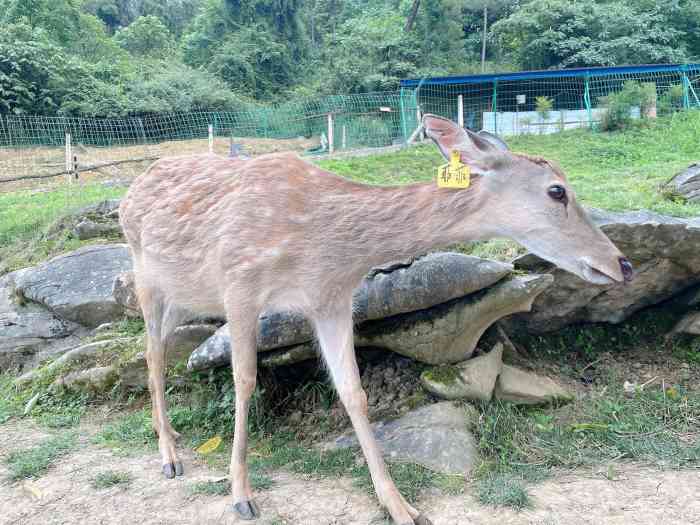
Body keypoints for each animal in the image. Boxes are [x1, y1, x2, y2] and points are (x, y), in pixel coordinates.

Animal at [117, 115, 632, 524]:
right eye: (557, 190)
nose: (622, 264)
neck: (329, 248)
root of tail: (130, 189)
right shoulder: (240, 284)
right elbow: (245, 380)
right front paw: (241, 494)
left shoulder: (331, 300)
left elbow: (354, 391)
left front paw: (400, 505)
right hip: (145, 274)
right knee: (152, 353)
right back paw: (169, 456)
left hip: (184, 294)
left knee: (157, 349)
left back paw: (171, 433)